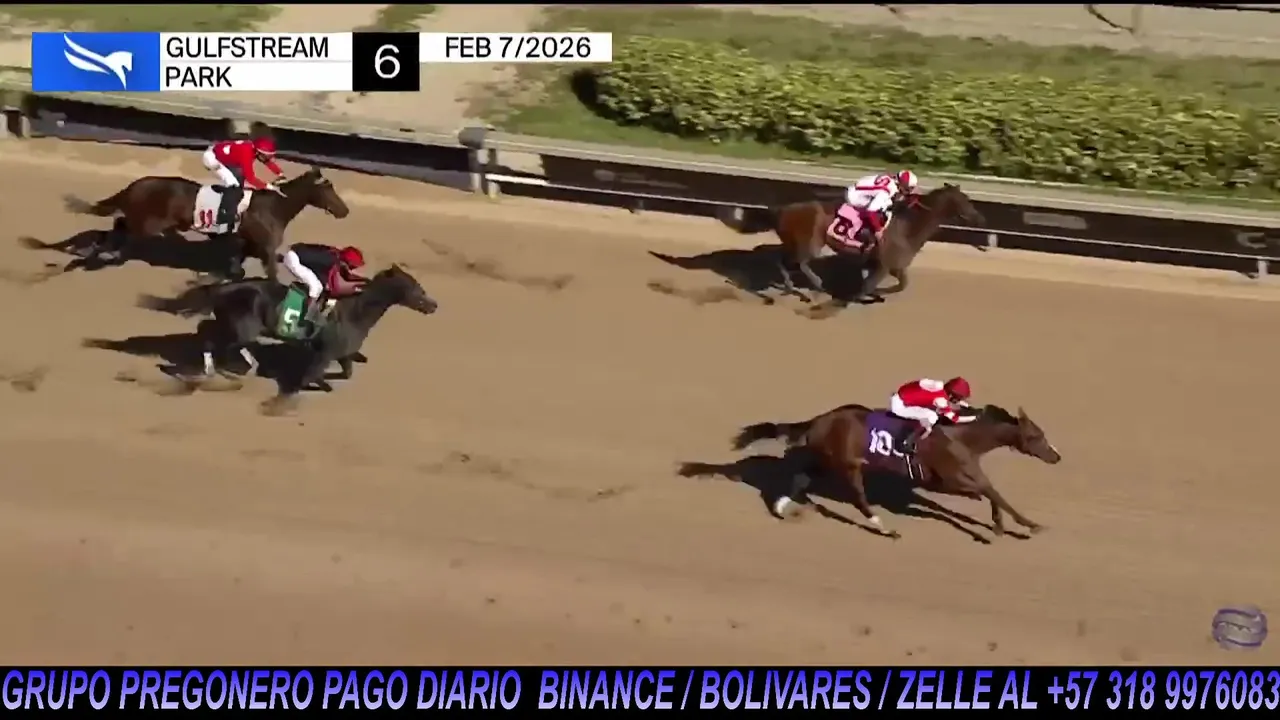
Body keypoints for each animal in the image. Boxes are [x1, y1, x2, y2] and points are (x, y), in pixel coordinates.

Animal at [67, 166, 350, 280]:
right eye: (328, 189)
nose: (345, 211)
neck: (275, 207)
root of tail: (136, 185)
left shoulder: (248, 244)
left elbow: (237, 268)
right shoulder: (267, 248)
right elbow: (270, 274)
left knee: (119, 226)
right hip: (147, 224)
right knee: (121, 226)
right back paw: (97, 253)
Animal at [137, 264, 438, 396]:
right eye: (414, 287)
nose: (434, 305)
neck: (356, 312)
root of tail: (223, 288)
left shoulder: (341, 353)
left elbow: (347, 372)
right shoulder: (326, 352)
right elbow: (314, 378)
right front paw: (311, 384)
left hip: (231, 325)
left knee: (207, 331)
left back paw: (234, 366)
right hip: (240, 327)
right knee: (211, 338)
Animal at [730, 403, 1060, 541]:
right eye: (1036, 436)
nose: (1056, 456)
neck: (962, 437)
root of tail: (819, 419)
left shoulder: (965, 474)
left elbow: (990, 490)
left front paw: (1000, 525)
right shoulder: (946, 480)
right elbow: (988, 492)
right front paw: (1027, 525)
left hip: (825, 459)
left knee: (801, 478)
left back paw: (780, 508)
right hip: (848, 465)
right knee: (860, 500)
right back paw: (885, 529)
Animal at [733, 183, 985, 306]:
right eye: (965, 201)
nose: (980, 218)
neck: (908, 226)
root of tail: (782, 209)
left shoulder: (891, 266)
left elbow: (900, 285)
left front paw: (874, 293)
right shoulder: (885, 265)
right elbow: (874, 286)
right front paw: (865, 293)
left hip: (793, 241)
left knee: (780, 259)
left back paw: (788, 287)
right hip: (810, 242)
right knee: (800, 262)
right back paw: (815, 286)